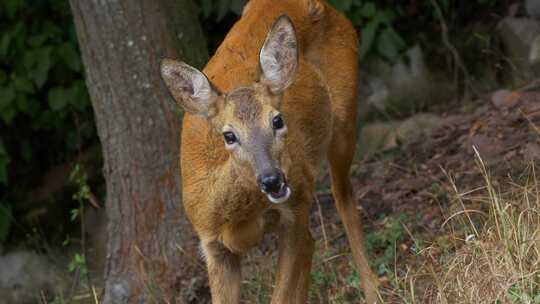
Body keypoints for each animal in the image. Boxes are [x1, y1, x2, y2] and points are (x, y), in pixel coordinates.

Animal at [160, 1, 380, 302]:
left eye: (277, 120)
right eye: (229, 135)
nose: (272, 180)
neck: (240, 219)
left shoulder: (293, 212)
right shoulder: (212, 246)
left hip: (343, 121)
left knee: (343, 197)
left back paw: (374, 292)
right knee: (312, 241)